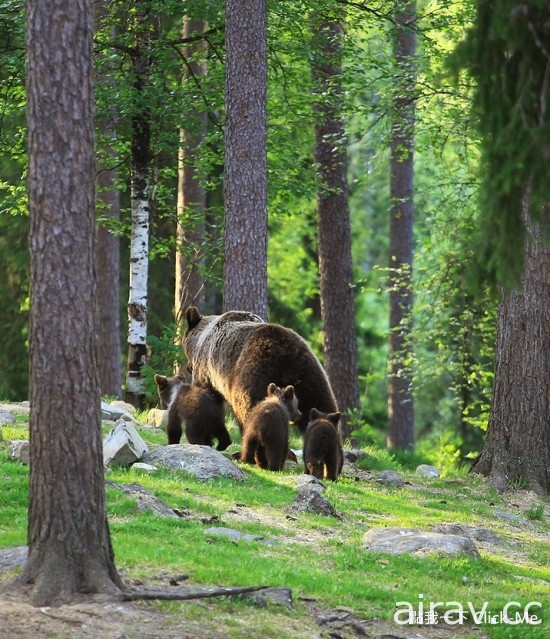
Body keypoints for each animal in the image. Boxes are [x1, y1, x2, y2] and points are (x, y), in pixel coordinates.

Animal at [184, 306, 340, 436]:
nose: (188, 368)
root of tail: (282, 352)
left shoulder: (206, 369)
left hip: (253, 373)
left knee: (248, 407)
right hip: (308, 371)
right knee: (320, 404)